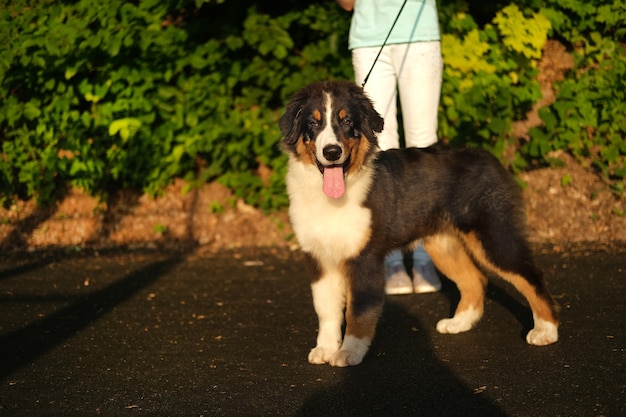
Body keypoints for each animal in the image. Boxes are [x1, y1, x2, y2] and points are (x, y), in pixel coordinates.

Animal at [278, 79, 556, 366]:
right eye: (313, 123)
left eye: (347, 122)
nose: (331, 152)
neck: (333, 196)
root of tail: (487, 156)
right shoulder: (318, 257)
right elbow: (326, 308)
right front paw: (325, 348)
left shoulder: (365, 258)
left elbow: (358, 310)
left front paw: (349, 352)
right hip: (443, 244)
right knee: (476, 279)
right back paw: (459, 322)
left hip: (494, 235)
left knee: (531, 276)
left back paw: (546, 330)